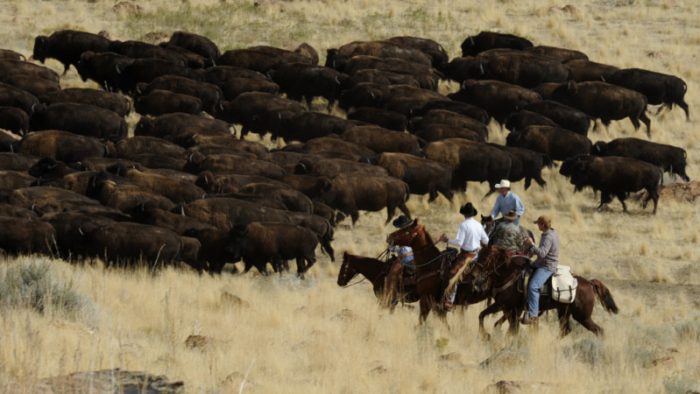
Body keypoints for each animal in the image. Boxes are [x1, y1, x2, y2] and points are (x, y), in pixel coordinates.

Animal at [470, 246, 616, 336]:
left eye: (485, 257)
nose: (473, 274)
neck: (509, 274)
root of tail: (589, 283)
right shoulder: (506, 307)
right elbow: (484, 316)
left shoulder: (507, 307)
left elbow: (508, 328)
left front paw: (486, 336)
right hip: (564, 312)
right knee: (565, 330)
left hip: (582, 316)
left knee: (598, 331)